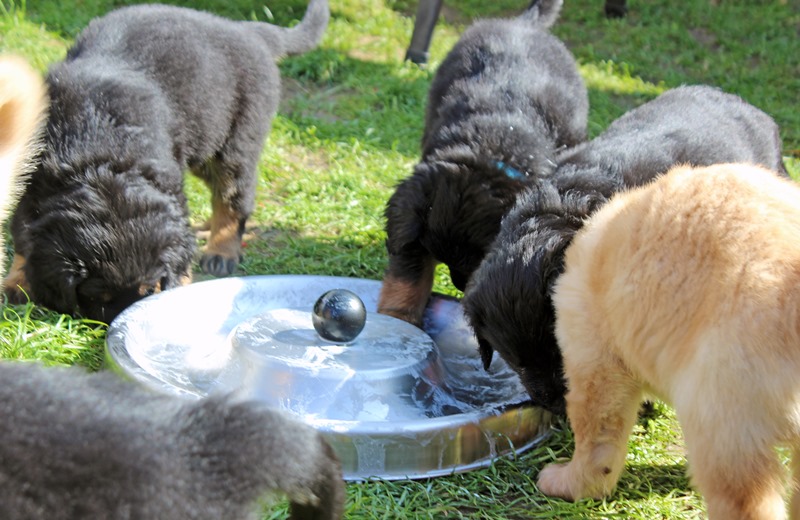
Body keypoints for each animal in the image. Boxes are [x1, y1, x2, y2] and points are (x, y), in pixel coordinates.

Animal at [3, 0, 329, 323]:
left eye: (150, 289)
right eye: (98, 297)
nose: (113, 325)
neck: (100, 154)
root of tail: (248, 31)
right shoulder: (32, 184)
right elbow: (23, 237)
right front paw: (18, 282)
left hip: (236, 141)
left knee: (233, 199)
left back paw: (221, 251)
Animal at [378, 0, 588, 326]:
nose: (458, 284)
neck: (490, 148)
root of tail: (523, 24)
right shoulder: (414, 212)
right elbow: (409, 273)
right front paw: (397, 317)